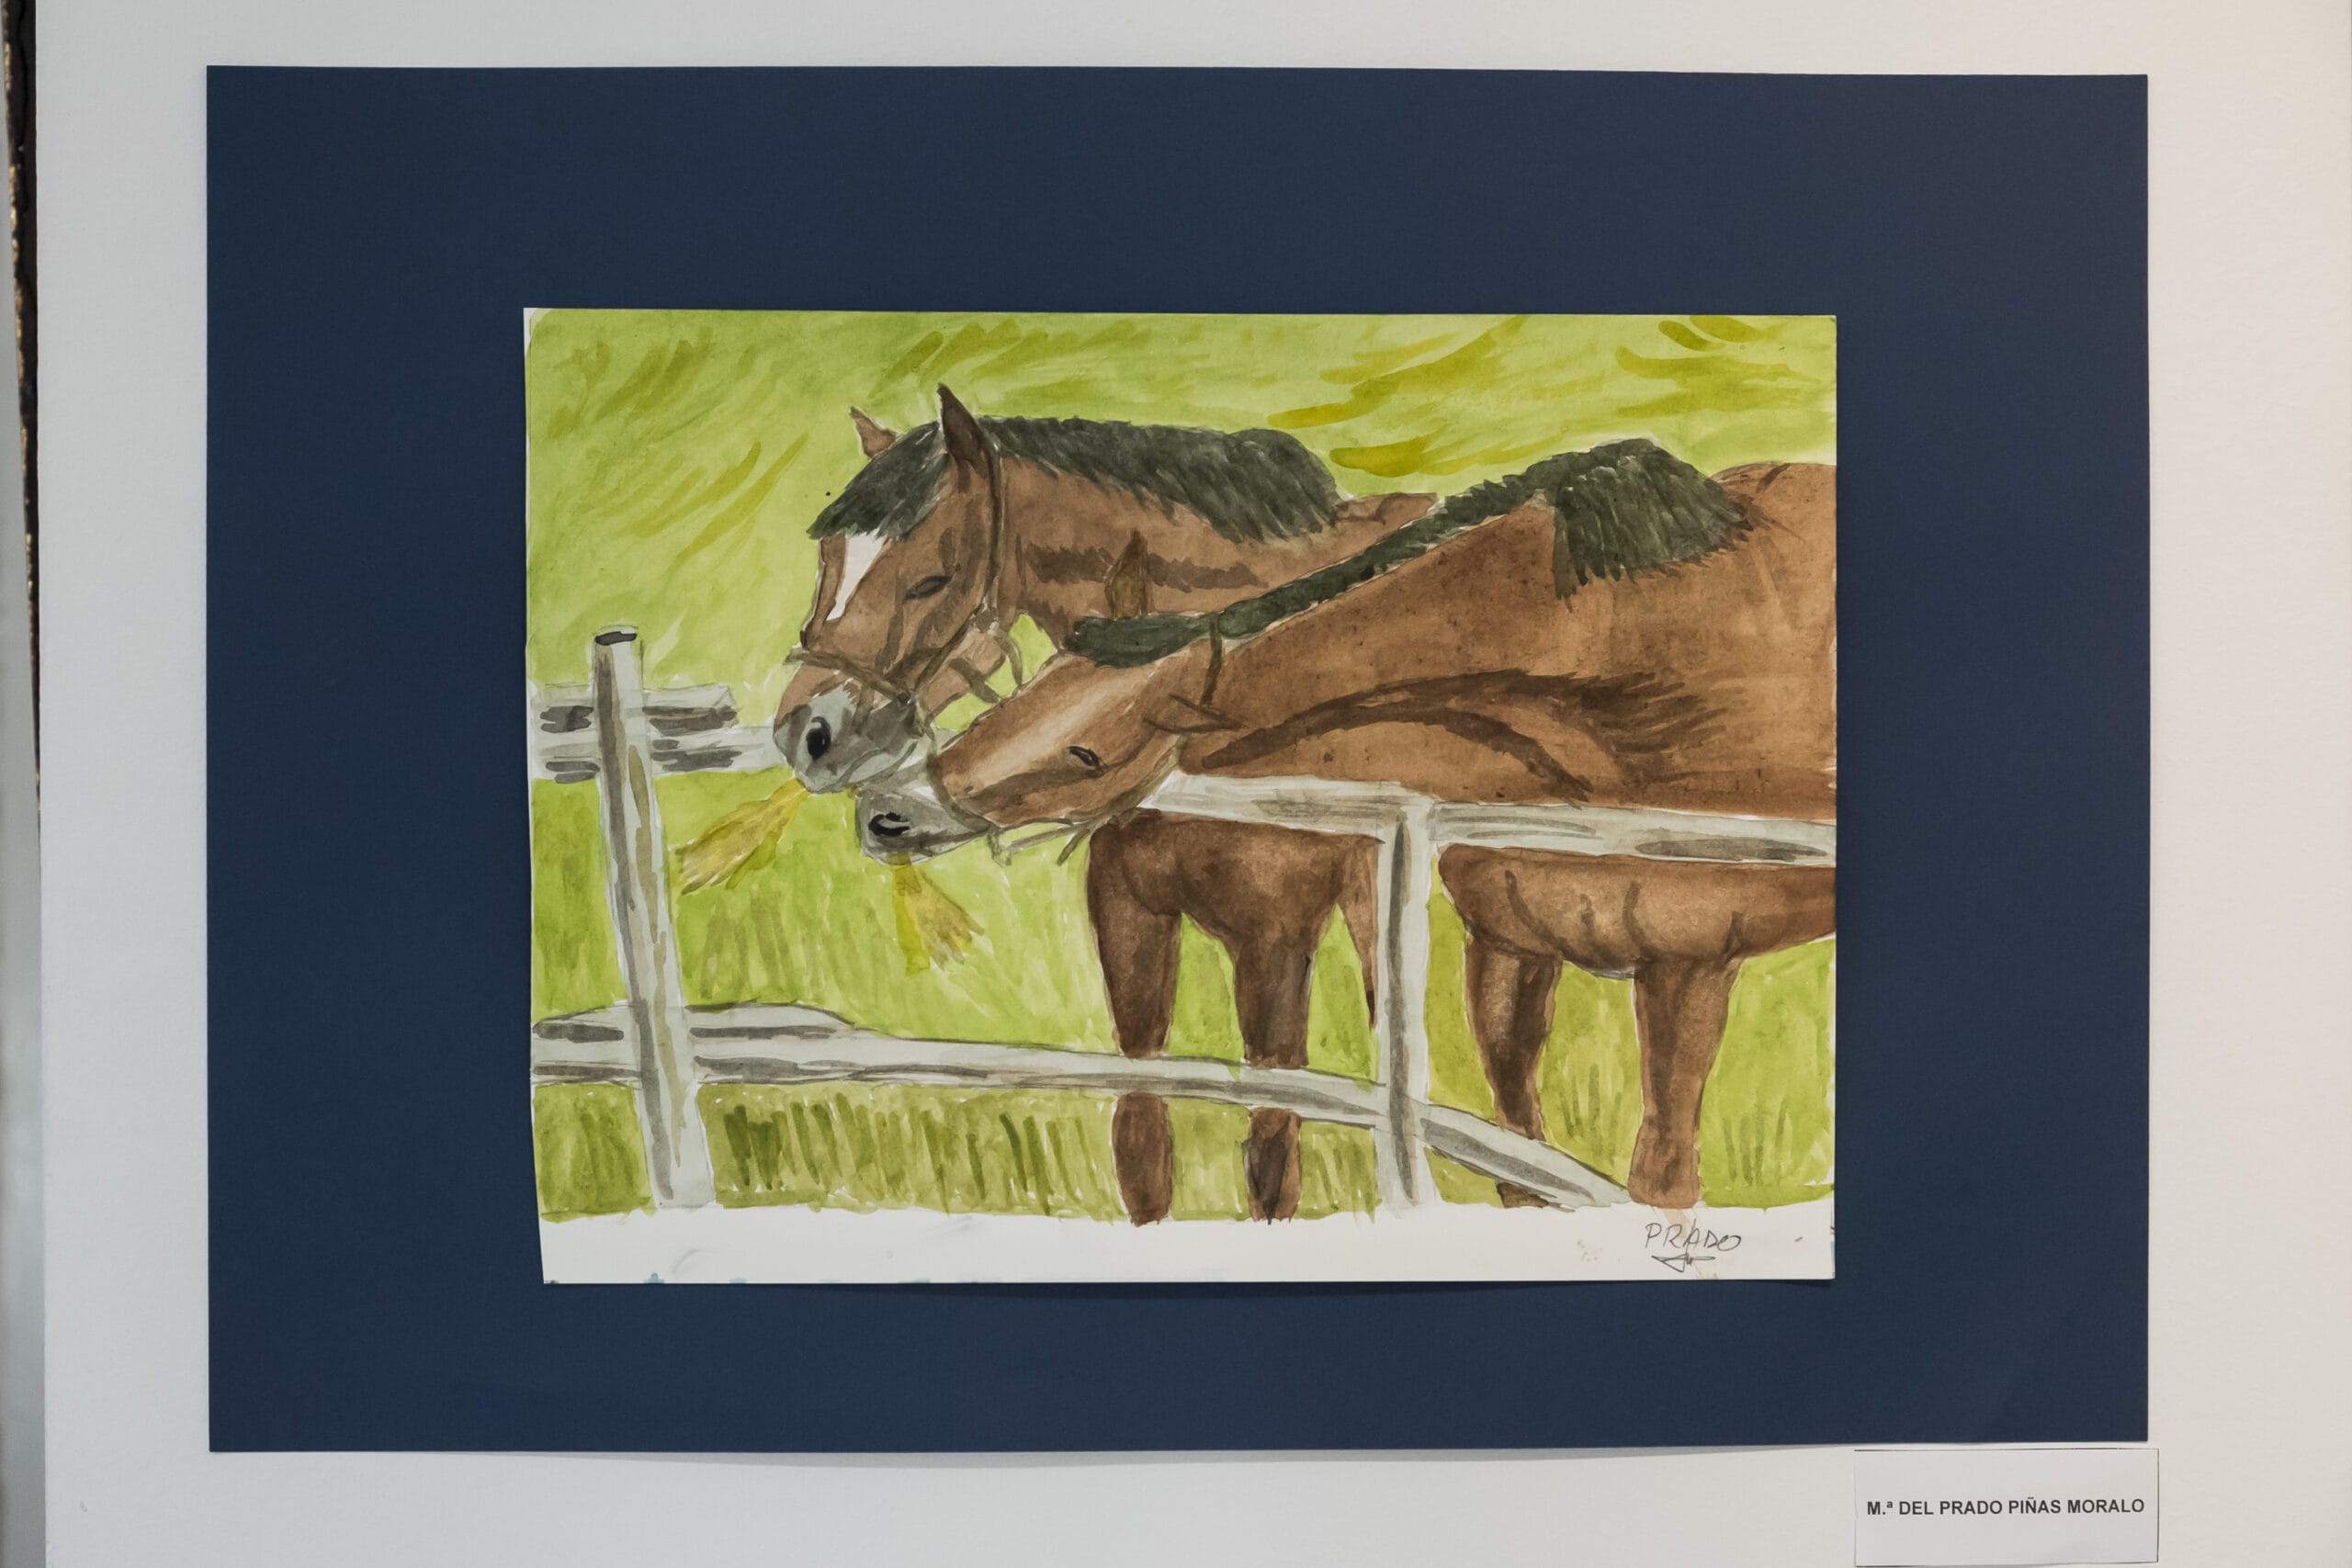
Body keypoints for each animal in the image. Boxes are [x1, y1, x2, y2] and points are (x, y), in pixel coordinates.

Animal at [775, 387, 1430, 1220]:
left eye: (932, 578)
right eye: (828, 558)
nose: (807, 732)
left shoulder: (1274, 933)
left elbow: (1274, 1138)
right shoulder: (1133, 915)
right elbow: (1143, 1131)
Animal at [856, 447, 1837, 1209]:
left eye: (1088, 751)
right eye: (1026, 691)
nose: (885, 809)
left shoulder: (1688, 967)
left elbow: (1658, 1180)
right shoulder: (1506, 947)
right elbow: (1517, 1163)